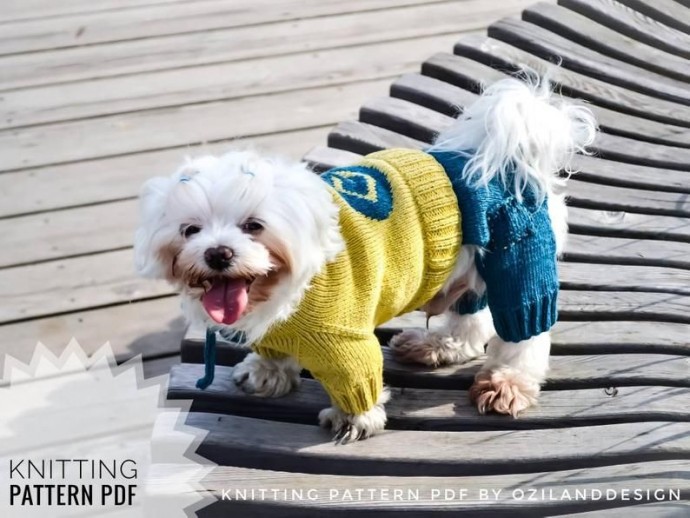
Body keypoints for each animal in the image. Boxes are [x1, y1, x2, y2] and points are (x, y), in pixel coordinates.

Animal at [136, 76, 596, 442]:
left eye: (254, 225)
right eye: (190, 230)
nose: (218, 253)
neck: (282, 292)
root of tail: (506, 163)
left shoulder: (345, 340)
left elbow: (355, 377)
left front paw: (354, 419)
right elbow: (273, 352)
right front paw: (268, 371)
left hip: (517, 264)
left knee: (524, 333)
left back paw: (508, 382)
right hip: (472, 269)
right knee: (471, 323)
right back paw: (437, 345)